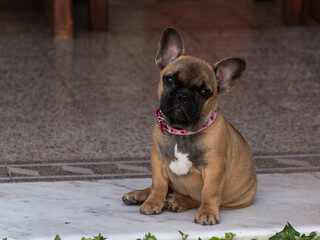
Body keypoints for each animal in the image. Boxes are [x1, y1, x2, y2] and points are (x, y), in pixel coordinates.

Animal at [122, 26, 258, 225]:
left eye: (204, 91)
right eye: (169, 79)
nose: (183, 96)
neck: (182, 131)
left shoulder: (214, 168)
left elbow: (209, 192)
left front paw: (207, 212)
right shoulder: (158, 160)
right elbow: (159, 184)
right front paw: (153, 201)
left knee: (196, 197)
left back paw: (179, 200)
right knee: (160, 187)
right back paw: (139, 195)